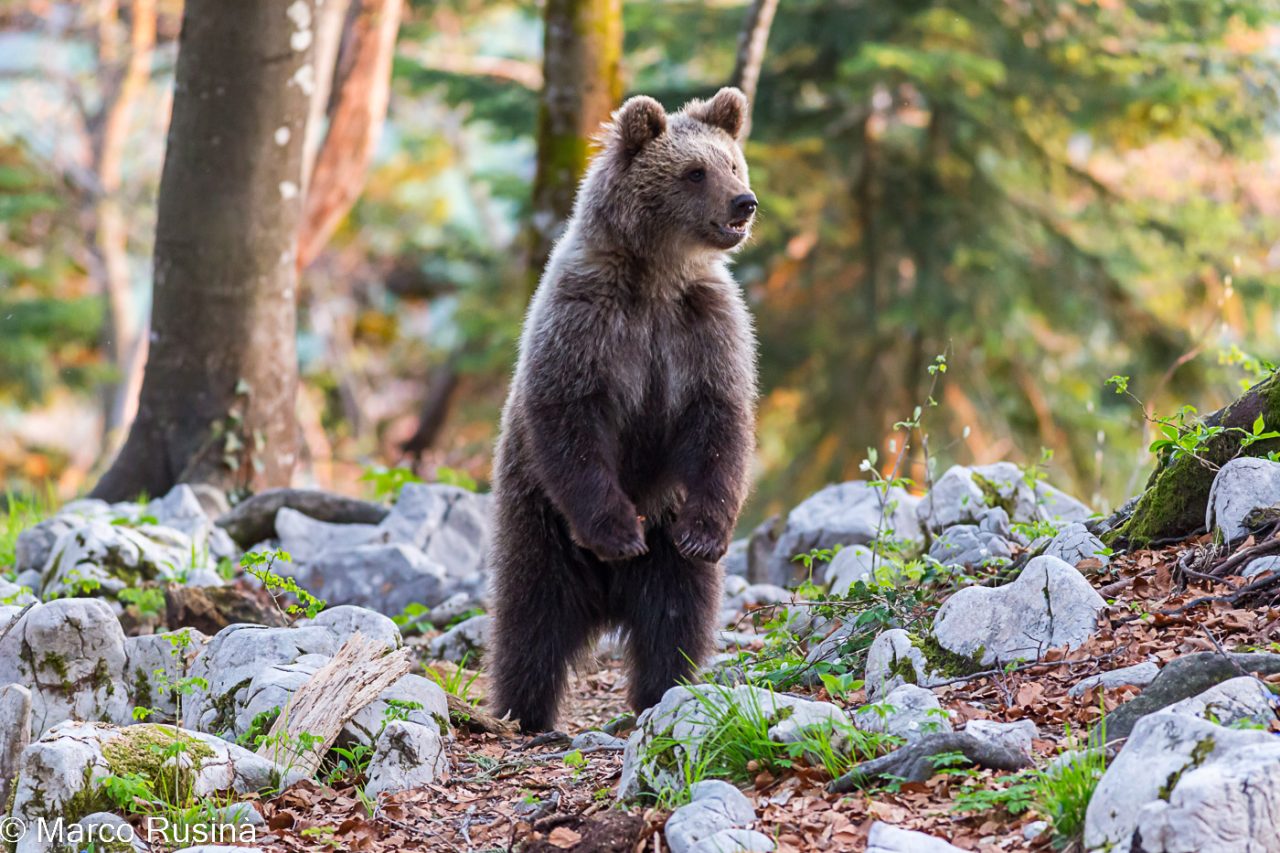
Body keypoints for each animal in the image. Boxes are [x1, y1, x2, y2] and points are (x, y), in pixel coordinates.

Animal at [483, 86, 752, 727]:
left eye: (733, 163)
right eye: (695, 171)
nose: (744, 204)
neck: (656, 277)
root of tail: (607, 602)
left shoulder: (704, 328)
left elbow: (720, 422)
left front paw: (706, 533)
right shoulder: (585, 323)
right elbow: (570, 419)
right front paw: (619, 532)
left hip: (665, 541)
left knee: (677, 616)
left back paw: (665, 690)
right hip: (538, 523)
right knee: (530, 619)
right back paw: (524, 712)